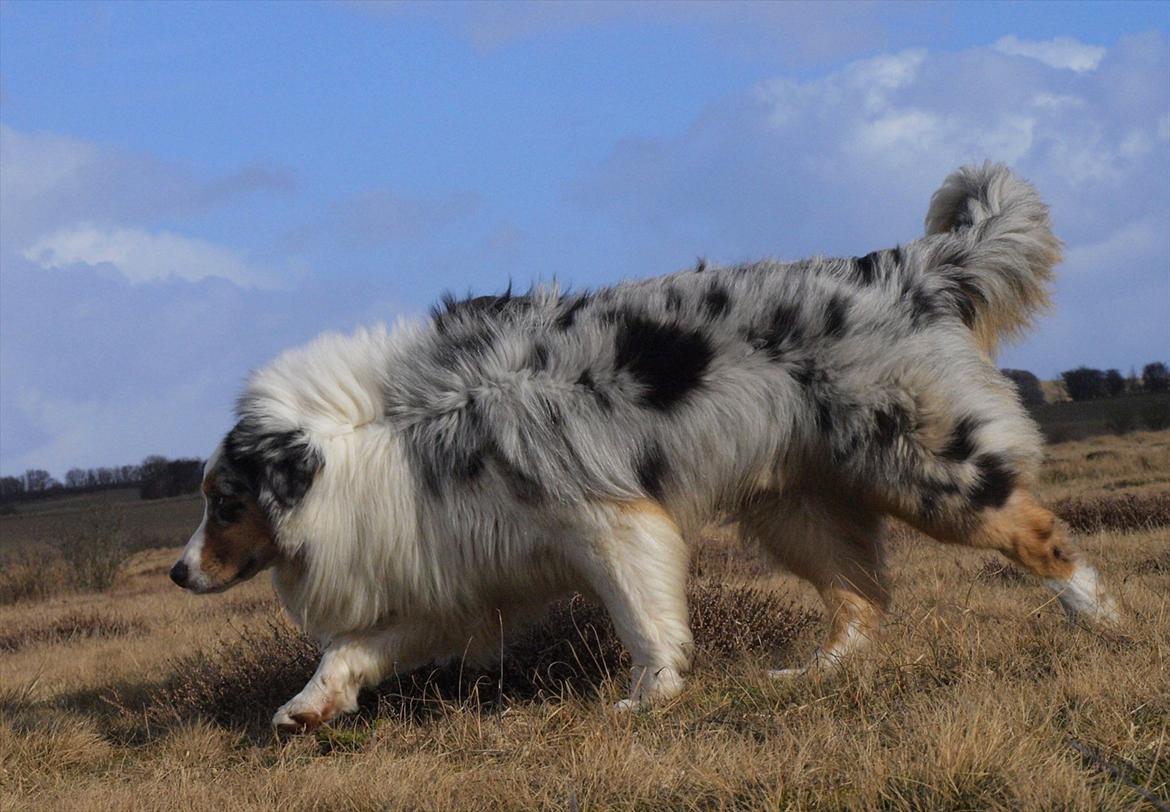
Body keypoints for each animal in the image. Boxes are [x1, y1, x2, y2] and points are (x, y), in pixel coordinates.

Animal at [169, 162, 1118, 734]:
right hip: (796, 509)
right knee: (864, 600)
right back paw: (809, 674)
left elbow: (644, 619)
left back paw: (1104, 622)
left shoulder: (608, 522)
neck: (386, 433)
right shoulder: (446, 566)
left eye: (225, 501)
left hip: (926, 468)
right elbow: (351, 648)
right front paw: (305, 707)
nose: (178, 573)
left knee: (1038, 536)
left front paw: (648, 697)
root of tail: (905, 270)